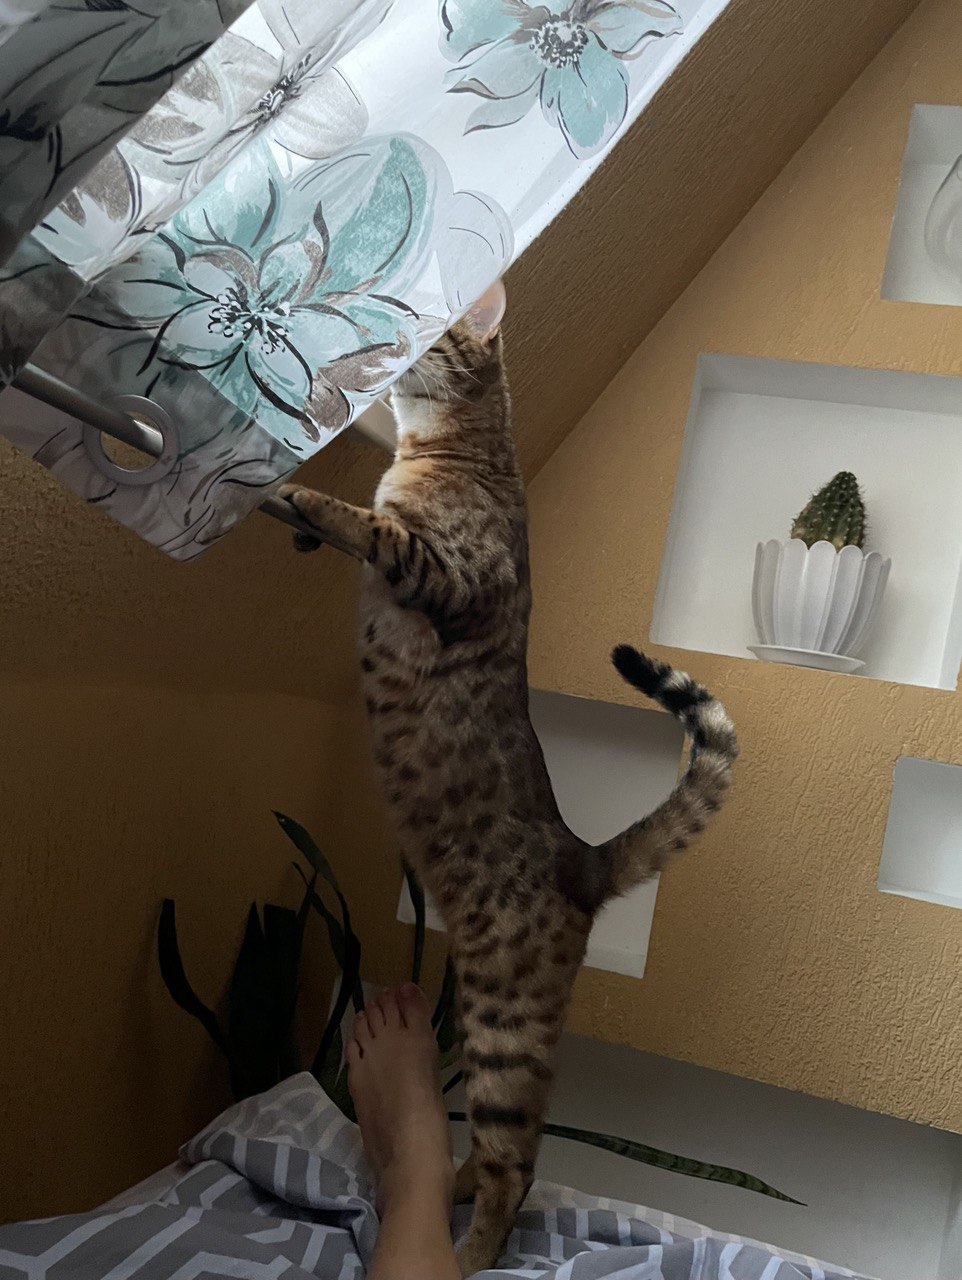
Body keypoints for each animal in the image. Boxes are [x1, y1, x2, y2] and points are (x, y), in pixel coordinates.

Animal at [277, 282, 737, 1277]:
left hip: (499, 1025)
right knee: (498, 1159)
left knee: (515, 1166)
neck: (450, 448)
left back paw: (471, 1248)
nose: (387, 346)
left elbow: (371, 525)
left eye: (436, 328)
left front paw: (298, 496)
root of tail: (584, 857)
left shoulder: (447, 573)